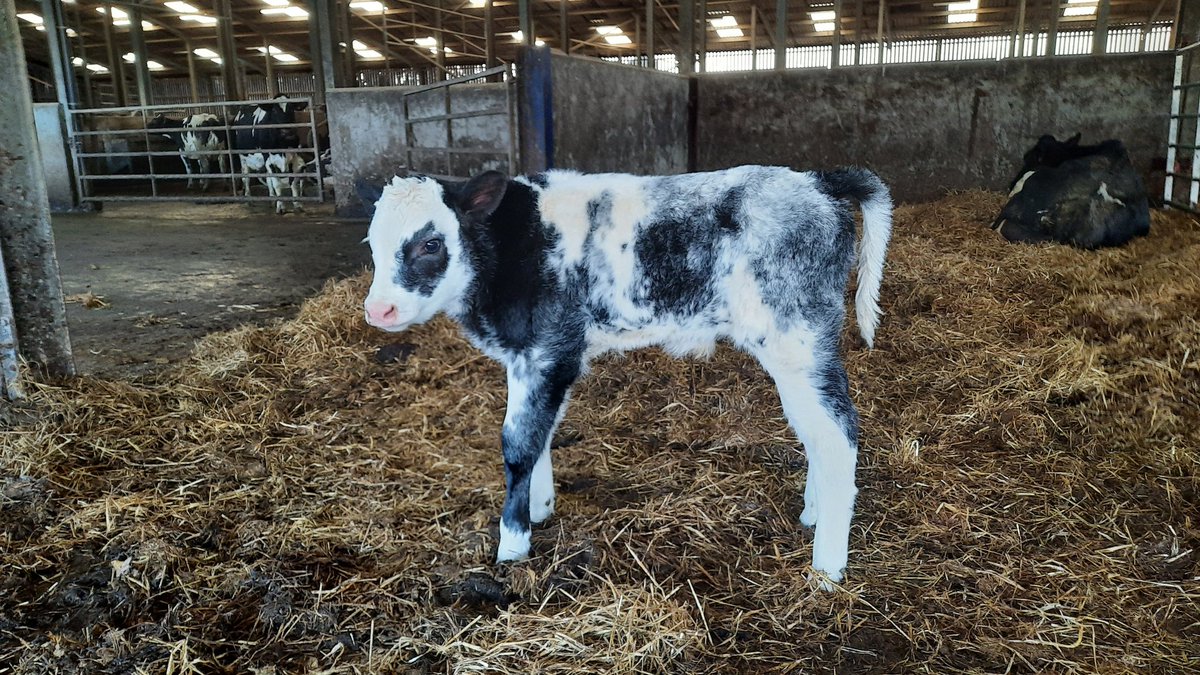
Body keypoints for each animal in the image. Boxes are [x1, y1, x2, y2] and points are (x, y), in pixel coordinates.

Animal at [357, 165, 893, 588]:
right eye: (372, 244)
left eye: (430, 243)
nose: (378, 310)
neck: (514, 247)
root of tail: (815, 180)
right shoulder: (532, 355)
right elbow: (541, 433)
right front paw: (540, 506)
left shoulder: (548, 351)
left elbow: (519, 443)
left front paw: (512, 544)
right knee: (816, 431)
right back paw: (812, 515)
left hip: (795, 338)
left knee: (837, 434)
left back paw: (826, 570)